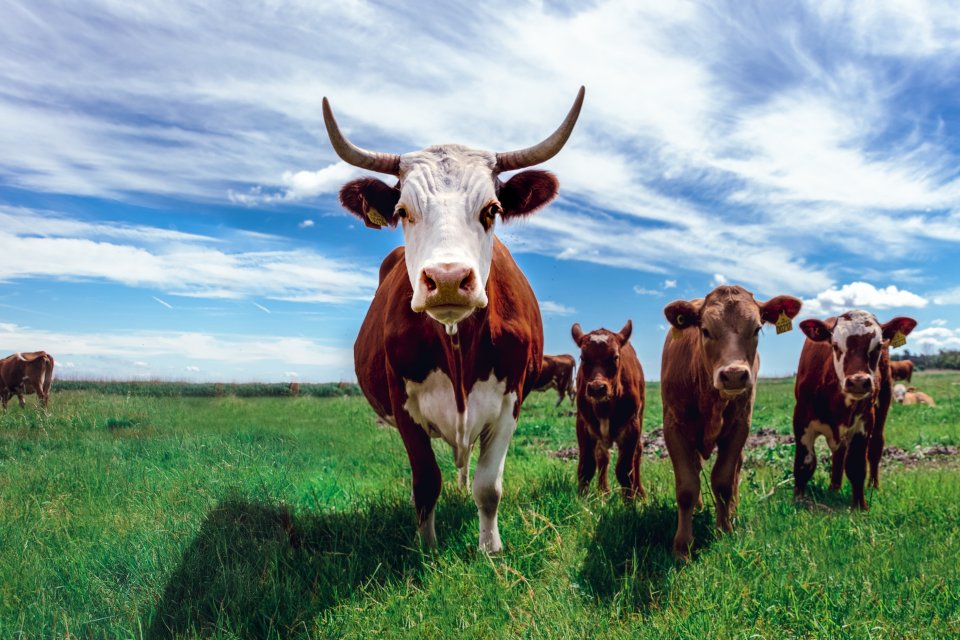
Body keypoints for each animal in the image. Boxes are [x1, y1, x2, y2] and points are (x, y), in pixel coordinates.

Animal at [325, 88, 584, 552]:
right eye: (403, 211)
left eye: (492, 209)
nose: (447, 279)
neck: (457, 344)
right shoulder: (403, 405)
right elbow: (426, 482)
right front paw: (427, 547)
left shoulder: (510, 401)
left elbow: (489, 486)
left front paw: (490, 548)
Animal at [570, 320, 645, 500]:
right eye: (583, 357)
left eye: (615, 357)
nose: (597, 388)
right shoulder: (583, 425)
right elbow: (586, 467)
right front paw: (583, 500)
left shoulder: (632, 426)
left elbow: (625, 470)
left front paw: (629, 502)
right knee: (603, 457)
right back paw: (603, 491)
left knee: (637, 453)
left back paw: (640, 492)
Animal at [661, 286, 802, 558]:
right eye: (705, 330)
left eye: (756, 329)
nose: (734, 375)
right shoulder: (673, 427)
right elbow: (687, 486)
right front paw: (682, 546)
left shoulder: (739, 426)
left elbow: (724, 481)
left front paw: (724, 530)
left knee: (736, 470)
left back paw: (733, 513)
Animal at [793, 311, 917, 510]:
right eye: (835, 345)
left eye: (878, 345)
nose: (858, 381)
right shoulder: (801, 419)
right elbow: (805, 464)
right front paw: (798, 500)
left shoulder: (863, 423)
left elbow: (856, 465)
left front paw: (860, 506)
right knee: (839, 453)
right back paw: (834, 488)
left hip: (884, 399)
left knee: (875, 446)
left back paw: (873, 485)